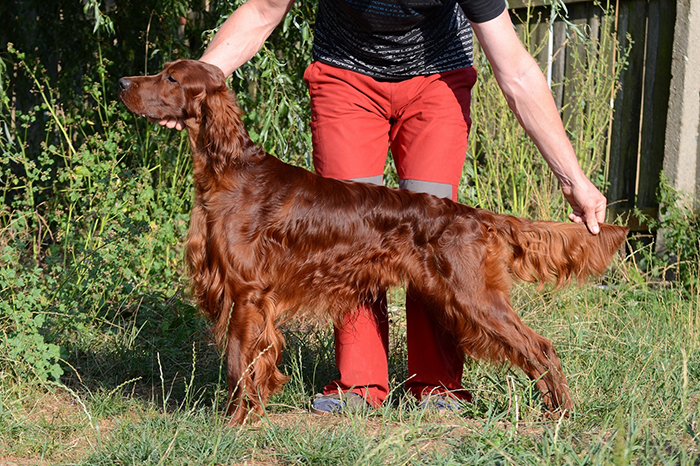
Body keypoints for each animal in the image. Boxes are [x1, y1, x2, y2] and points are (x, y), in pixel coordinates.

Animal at [120, 59, 628, 426]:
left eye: (170, 77)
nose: (124, 81)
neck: (229, 169)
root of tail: (471, 215)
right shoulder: (247, 297)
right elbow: (245, 363)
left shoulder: (247, 292)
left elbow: (238, 364)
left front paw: (235, 423)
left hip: (473, 298)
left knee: (539, 346)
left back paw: (560, 413)